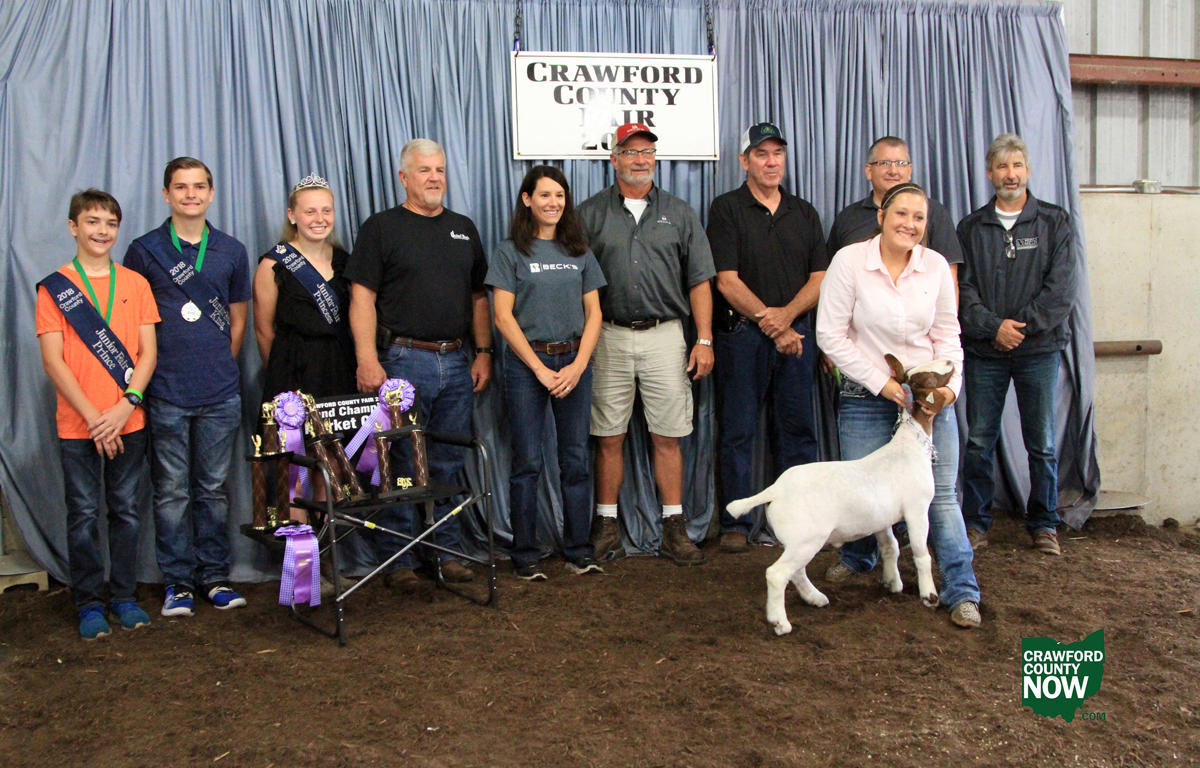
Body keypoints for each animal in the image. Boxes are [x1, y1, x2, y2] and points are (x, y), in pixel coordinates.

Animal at [726, 356, 955, 636]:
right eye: (930, 378)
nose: (950, 360)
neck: (909, 446)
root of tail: (776, 488)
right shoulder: (917, 510)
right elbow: (922, 554)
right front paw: (929, 596)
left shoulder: (882, 519)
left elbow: (890, 547)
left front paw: (893, 583)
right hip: (807, 538)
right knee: (777, 574)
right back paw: (780, 622)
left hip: (800, 540)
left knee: (796, 571)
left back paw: (815, 598)